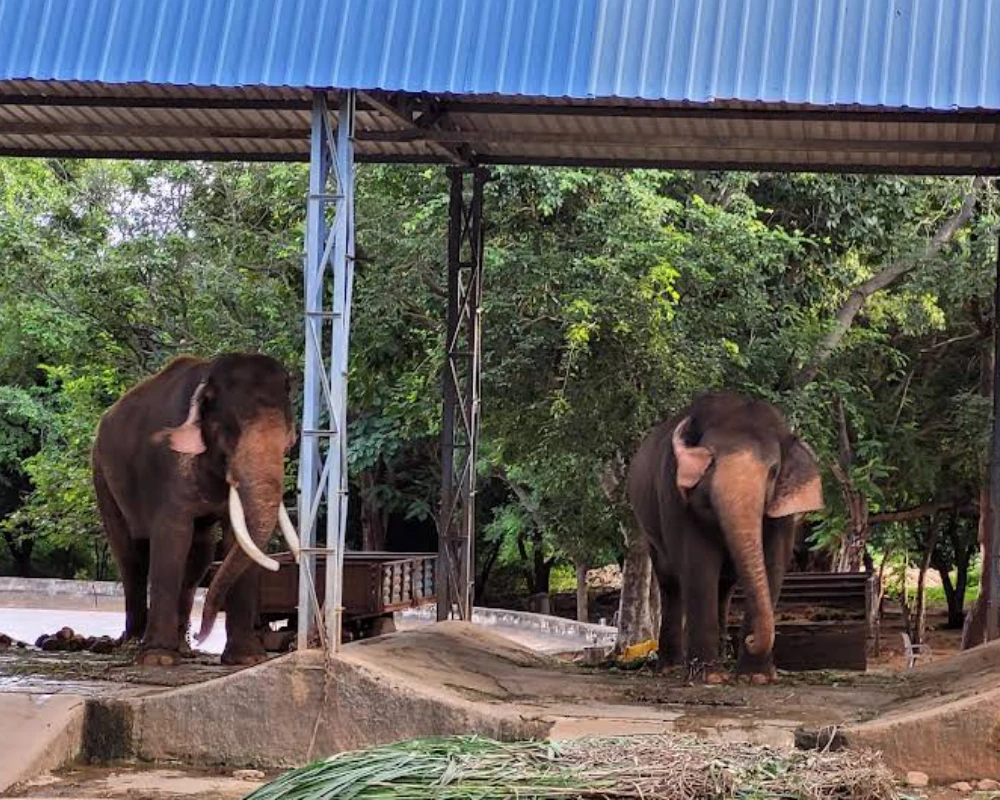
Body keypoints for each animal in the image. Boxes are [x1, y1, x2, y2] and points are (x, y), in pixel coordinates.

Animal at [91, 354, 296, 664]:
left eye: (287, 441)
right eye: (231, 433)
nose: (200, 636)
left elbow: (235, 540)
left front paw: (247, 659)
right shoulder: (169, 468)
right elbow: (172, 536)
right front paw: (158, 659)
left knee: (200, 553)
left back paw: (182, 649)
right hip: (101, 473)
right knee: (129, 553)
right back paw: (135, 643)